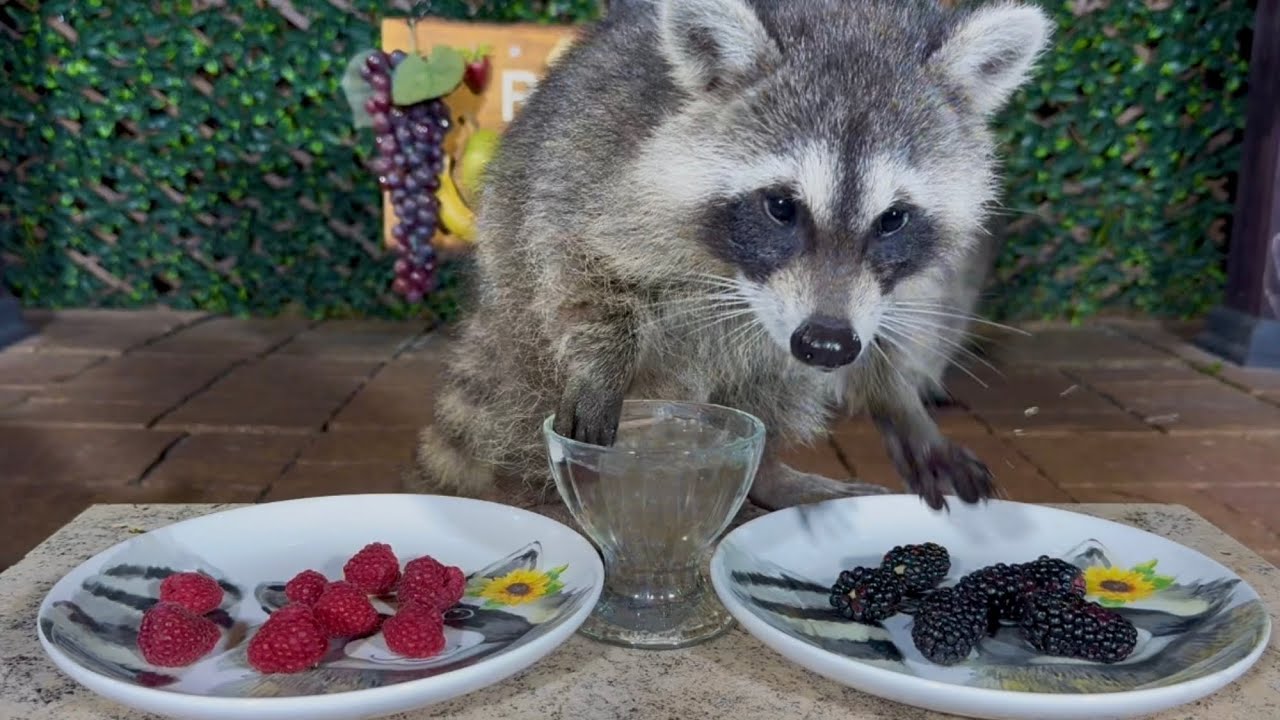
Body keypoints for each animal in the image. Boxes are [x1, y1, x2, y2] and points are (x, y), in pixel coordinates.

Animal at [409, 0, 1053, 511]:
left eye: (893, 219)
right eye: (781, 207)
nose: (826, 343)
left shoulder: (902, 283)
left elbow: (892, 327)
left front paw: (900, 401)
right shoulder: (598, 166)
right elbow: (580, 262)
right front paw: (599, 361)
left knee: (777, 381)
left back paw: (765, 470)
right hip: (519, 297)